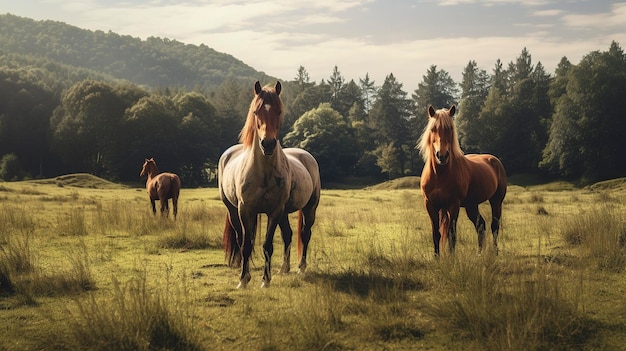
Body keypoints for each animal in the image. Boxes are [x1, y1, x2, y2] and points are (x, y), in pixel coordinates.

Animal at [217, 81, 320, 290]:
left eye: (279, 111)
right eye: (256, 112)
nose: (268, 144)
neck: (262, 172)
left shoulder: (275, 211)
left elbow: (267, 245)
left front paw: (265, 280)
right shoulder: (245, 210)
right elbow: (246, 244)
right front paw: (243, 279)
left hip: (309, 207)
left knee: (304, 234)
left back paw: (301, 269)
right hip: (234, 210)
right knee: (285, 235)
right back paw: (284, 269)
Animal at [416, 104, 504, 256]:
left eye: (450, 129)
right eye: (433, 129)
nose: (442, 156)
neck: (439, 174)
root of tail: (495, 160)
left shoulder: (453, 205)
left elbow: (451, 234)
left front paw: (451, 258)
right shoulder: (431, 205)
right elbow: (436, 234)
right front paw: (436, 257)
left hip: (496, 201)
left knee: (494, 226)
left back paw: (494, 252)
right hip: (472, 205)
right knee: (481, 225)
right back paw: (479, 253)